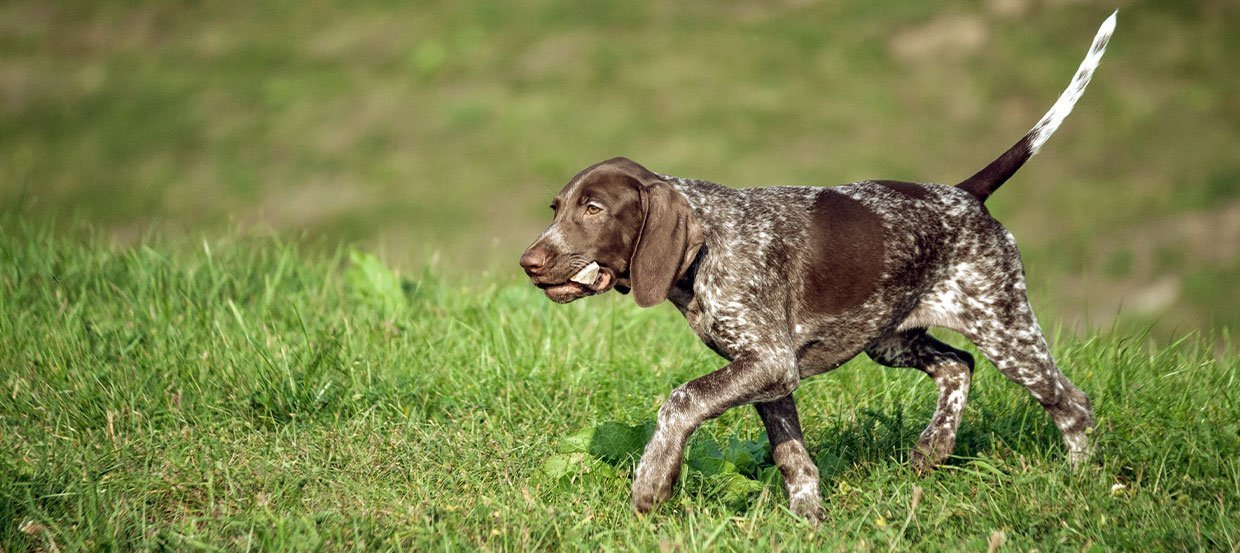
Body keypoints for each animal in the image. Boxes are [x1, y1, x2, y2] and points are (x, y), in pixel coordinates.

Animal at [518, 14, 1120, 523]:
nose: (529, 262)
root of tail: (965, 194)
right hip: (891, 337)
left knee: (1072, 405)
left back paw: (1080, 483)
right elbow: (792, 456)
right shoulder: (764, 373)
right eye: (557, 208)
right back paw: (934, 447)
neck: (708, 247)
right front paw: (810, 519)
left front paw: (652, 482)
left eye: (593, 209)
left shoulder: (768, 360)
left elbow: (681, 401)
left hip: (1004, 326)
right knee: (958, 366)